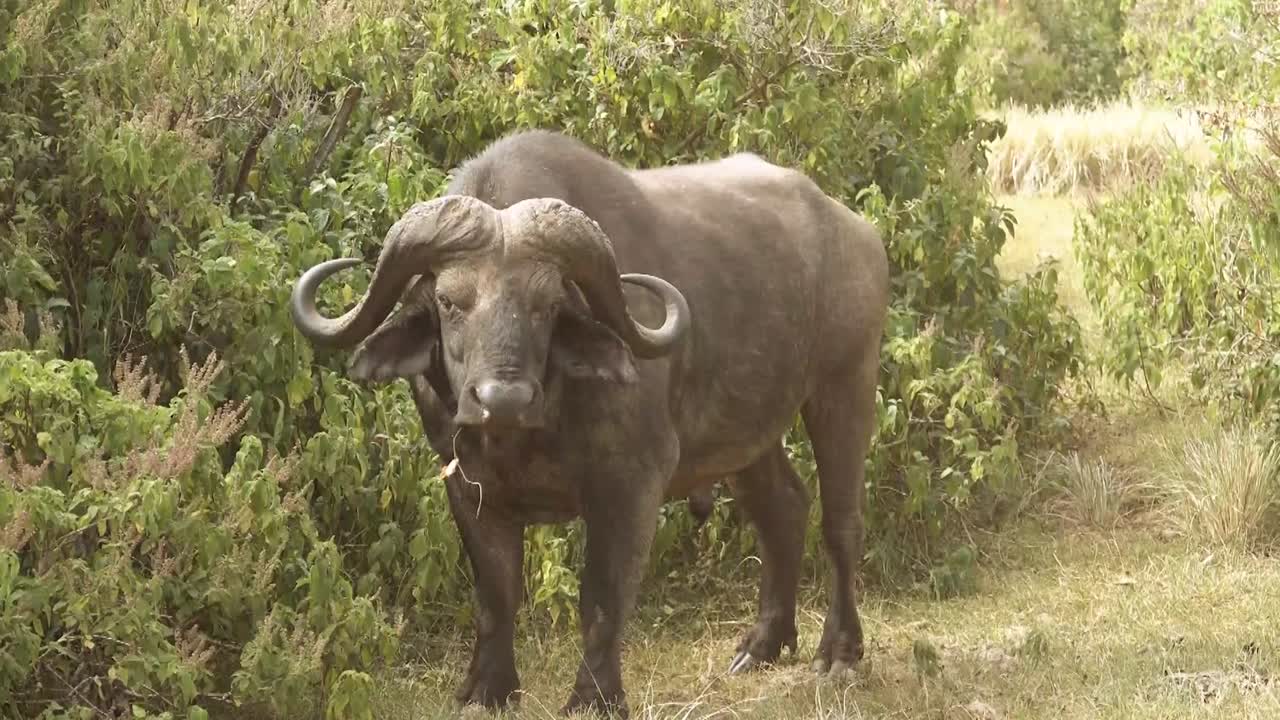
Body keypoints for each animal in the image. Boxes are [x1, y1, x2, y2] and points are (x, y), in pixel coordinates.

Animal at [290, 130, 890, 717]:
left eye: (548, 304)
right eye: (449, 300)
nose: (501, 398)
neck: (525, 433)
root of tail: (857, 233)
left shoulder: (630, 481)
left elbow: (602, 595)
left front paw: (595, 697)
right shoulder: (465, 483)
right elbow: (495, 594)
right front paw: (488, 689)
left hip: (846, 385)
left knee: (842, 522)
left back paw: (839, 653)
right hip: (745, 433)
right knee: (783, 509)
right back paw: (761, 646)